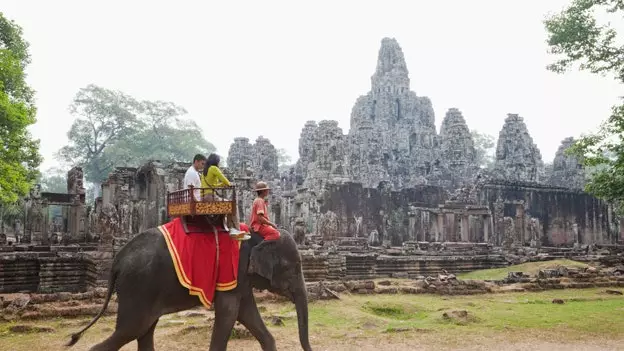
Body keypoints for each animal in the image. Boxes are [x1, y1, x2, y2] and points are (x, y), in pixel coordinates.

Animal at [66, 227, 312, 350]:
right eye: (294, 267)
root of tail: (117, 260)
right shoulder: (233, 271)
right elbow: (229, 313)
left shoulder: (241, 278)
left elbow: (245, 312)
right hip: (137, 287)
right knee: (132, 329)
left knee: (145, 330)